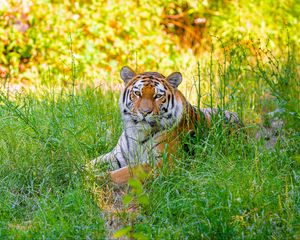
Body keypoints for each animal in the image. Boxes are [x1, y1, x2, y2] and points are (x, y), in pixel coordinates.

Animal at [88, 66, 239, 183]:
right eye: (137, 93)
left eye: (158, 96)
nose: (144, 112)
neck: (137, 133)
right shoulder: (117, 156)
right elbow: (90, 163)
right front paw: (84, 171)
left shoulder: (163, 163)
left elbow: (125, 172)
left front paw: (92, 180)